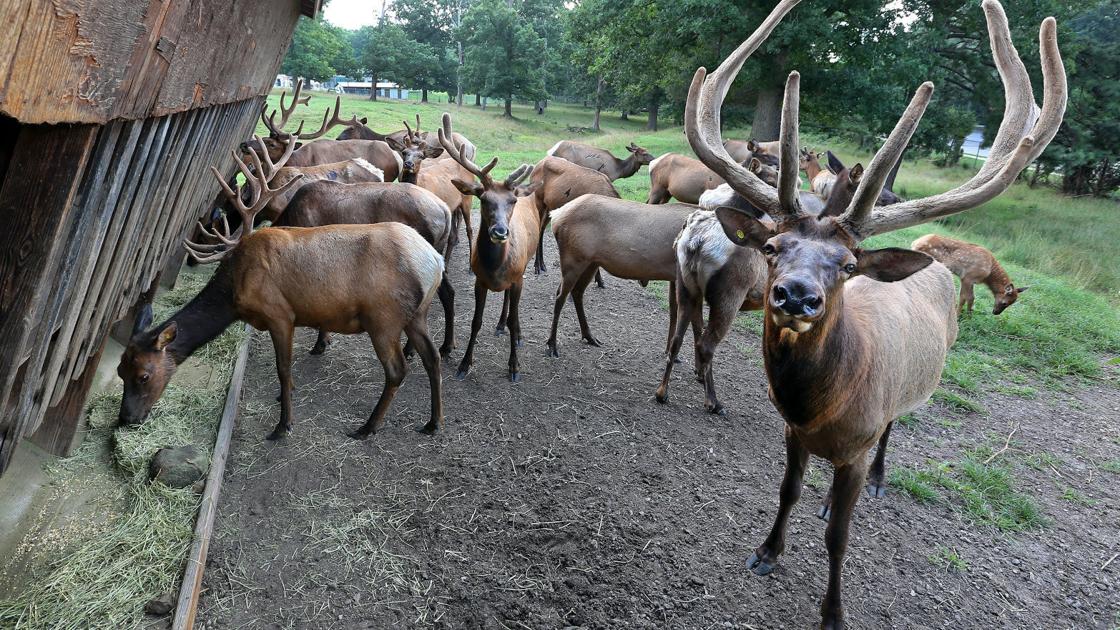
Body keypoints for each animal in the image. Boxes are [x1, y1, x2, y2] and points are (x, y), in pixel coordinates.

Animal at [275, 178, 457, 357]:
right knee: (448, 292)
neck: (289, 218)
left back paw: (411, 350)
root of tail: (445, 210)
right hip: (437, 253)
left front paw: (320, 344)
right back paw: (446, 346)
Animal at [437, 113, 540, 382]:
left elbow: (514, 319)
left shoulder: (517, 278)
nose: (500, 232)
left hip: (524, 268)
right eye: (483, 199)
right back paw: (500, 324)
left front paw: (514, 366)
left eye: (512, 201)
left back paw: (513, 330)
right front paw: (464, 363)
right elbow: (476, 321)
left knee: (512, 308)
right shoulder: (479, 281)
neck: (495, 269)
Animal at [684, 1, 1064, 628]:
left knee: (893, 429)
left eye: (846, 264)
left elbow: (840, 536)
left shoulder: (856, 447)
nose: (795, 296)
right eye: (772, 247)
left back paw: (882, 481)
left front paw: (833, 610)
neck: (821, 410)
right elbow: (786, 493)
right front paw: (767, 551)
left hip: (913, 386)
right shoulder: (792, 432)